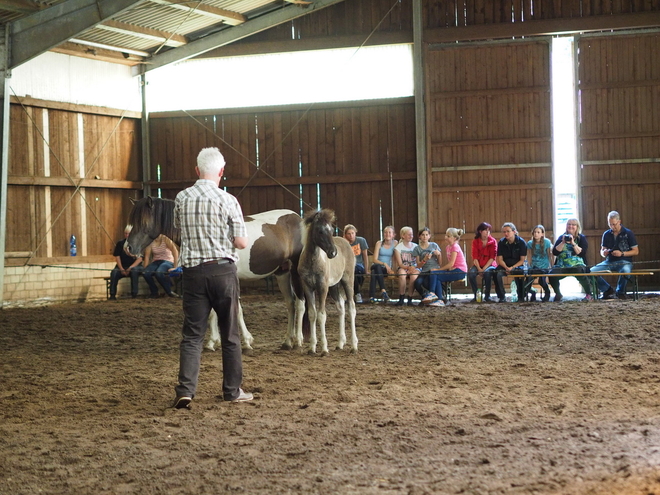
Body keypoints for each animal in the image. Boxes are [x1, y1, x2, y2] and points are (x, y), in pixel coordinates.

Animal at [125, 198, 306, 352]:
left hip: (295, 271)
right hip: (282, 272)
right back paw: (287, 341)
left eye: (143, 222)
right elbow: (214, 312)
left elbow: (236, 310)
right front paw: (212, 342)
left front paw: (246, 342)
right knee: (290, 304)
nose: (128, 248)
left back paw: (298, 341)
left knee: (299, 304)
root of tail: (297, 218)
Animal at [298, 209, 358, 356]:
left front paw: (324, 349)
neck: (313, 261)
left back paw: (354, 346)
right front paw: (312, 348)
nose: (333, 253)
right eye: (320, 231)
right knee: (341, 307)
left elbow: (321, 315)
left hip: (347, 281)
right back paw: (340, 344)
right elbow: (312, 314)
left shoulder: (322, 287)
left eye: (331, 230)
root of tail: (346, 242)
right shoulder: (308, 288)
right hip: (334, 287)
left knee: (351, 308)